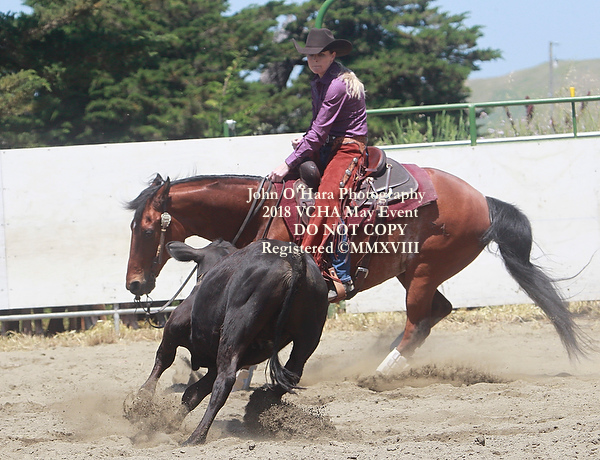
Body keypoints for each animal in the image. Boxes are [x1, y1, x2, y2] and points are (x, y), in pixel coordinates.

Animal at [125, 168, 590, 371]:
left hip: (424, 272)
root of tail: (484, 202)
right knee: (436, 313)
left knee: (418, 321)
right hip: (413, 271)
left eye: (146, 228)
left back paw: (379, 374)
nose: (134, 284)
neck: (266, 214)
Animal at [126, 238, 328, 445]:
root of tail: (292, 260)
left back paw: (196, 436)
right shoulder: (215, 365)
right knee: (292, 374)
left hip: (236, 329)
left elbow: (163, 361)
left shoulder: (172, 331)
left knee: (225, 380)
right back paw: (259, 405)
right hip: (308, 336)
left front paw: (141, 402)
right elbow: (192, 394)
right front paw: (170, 424)